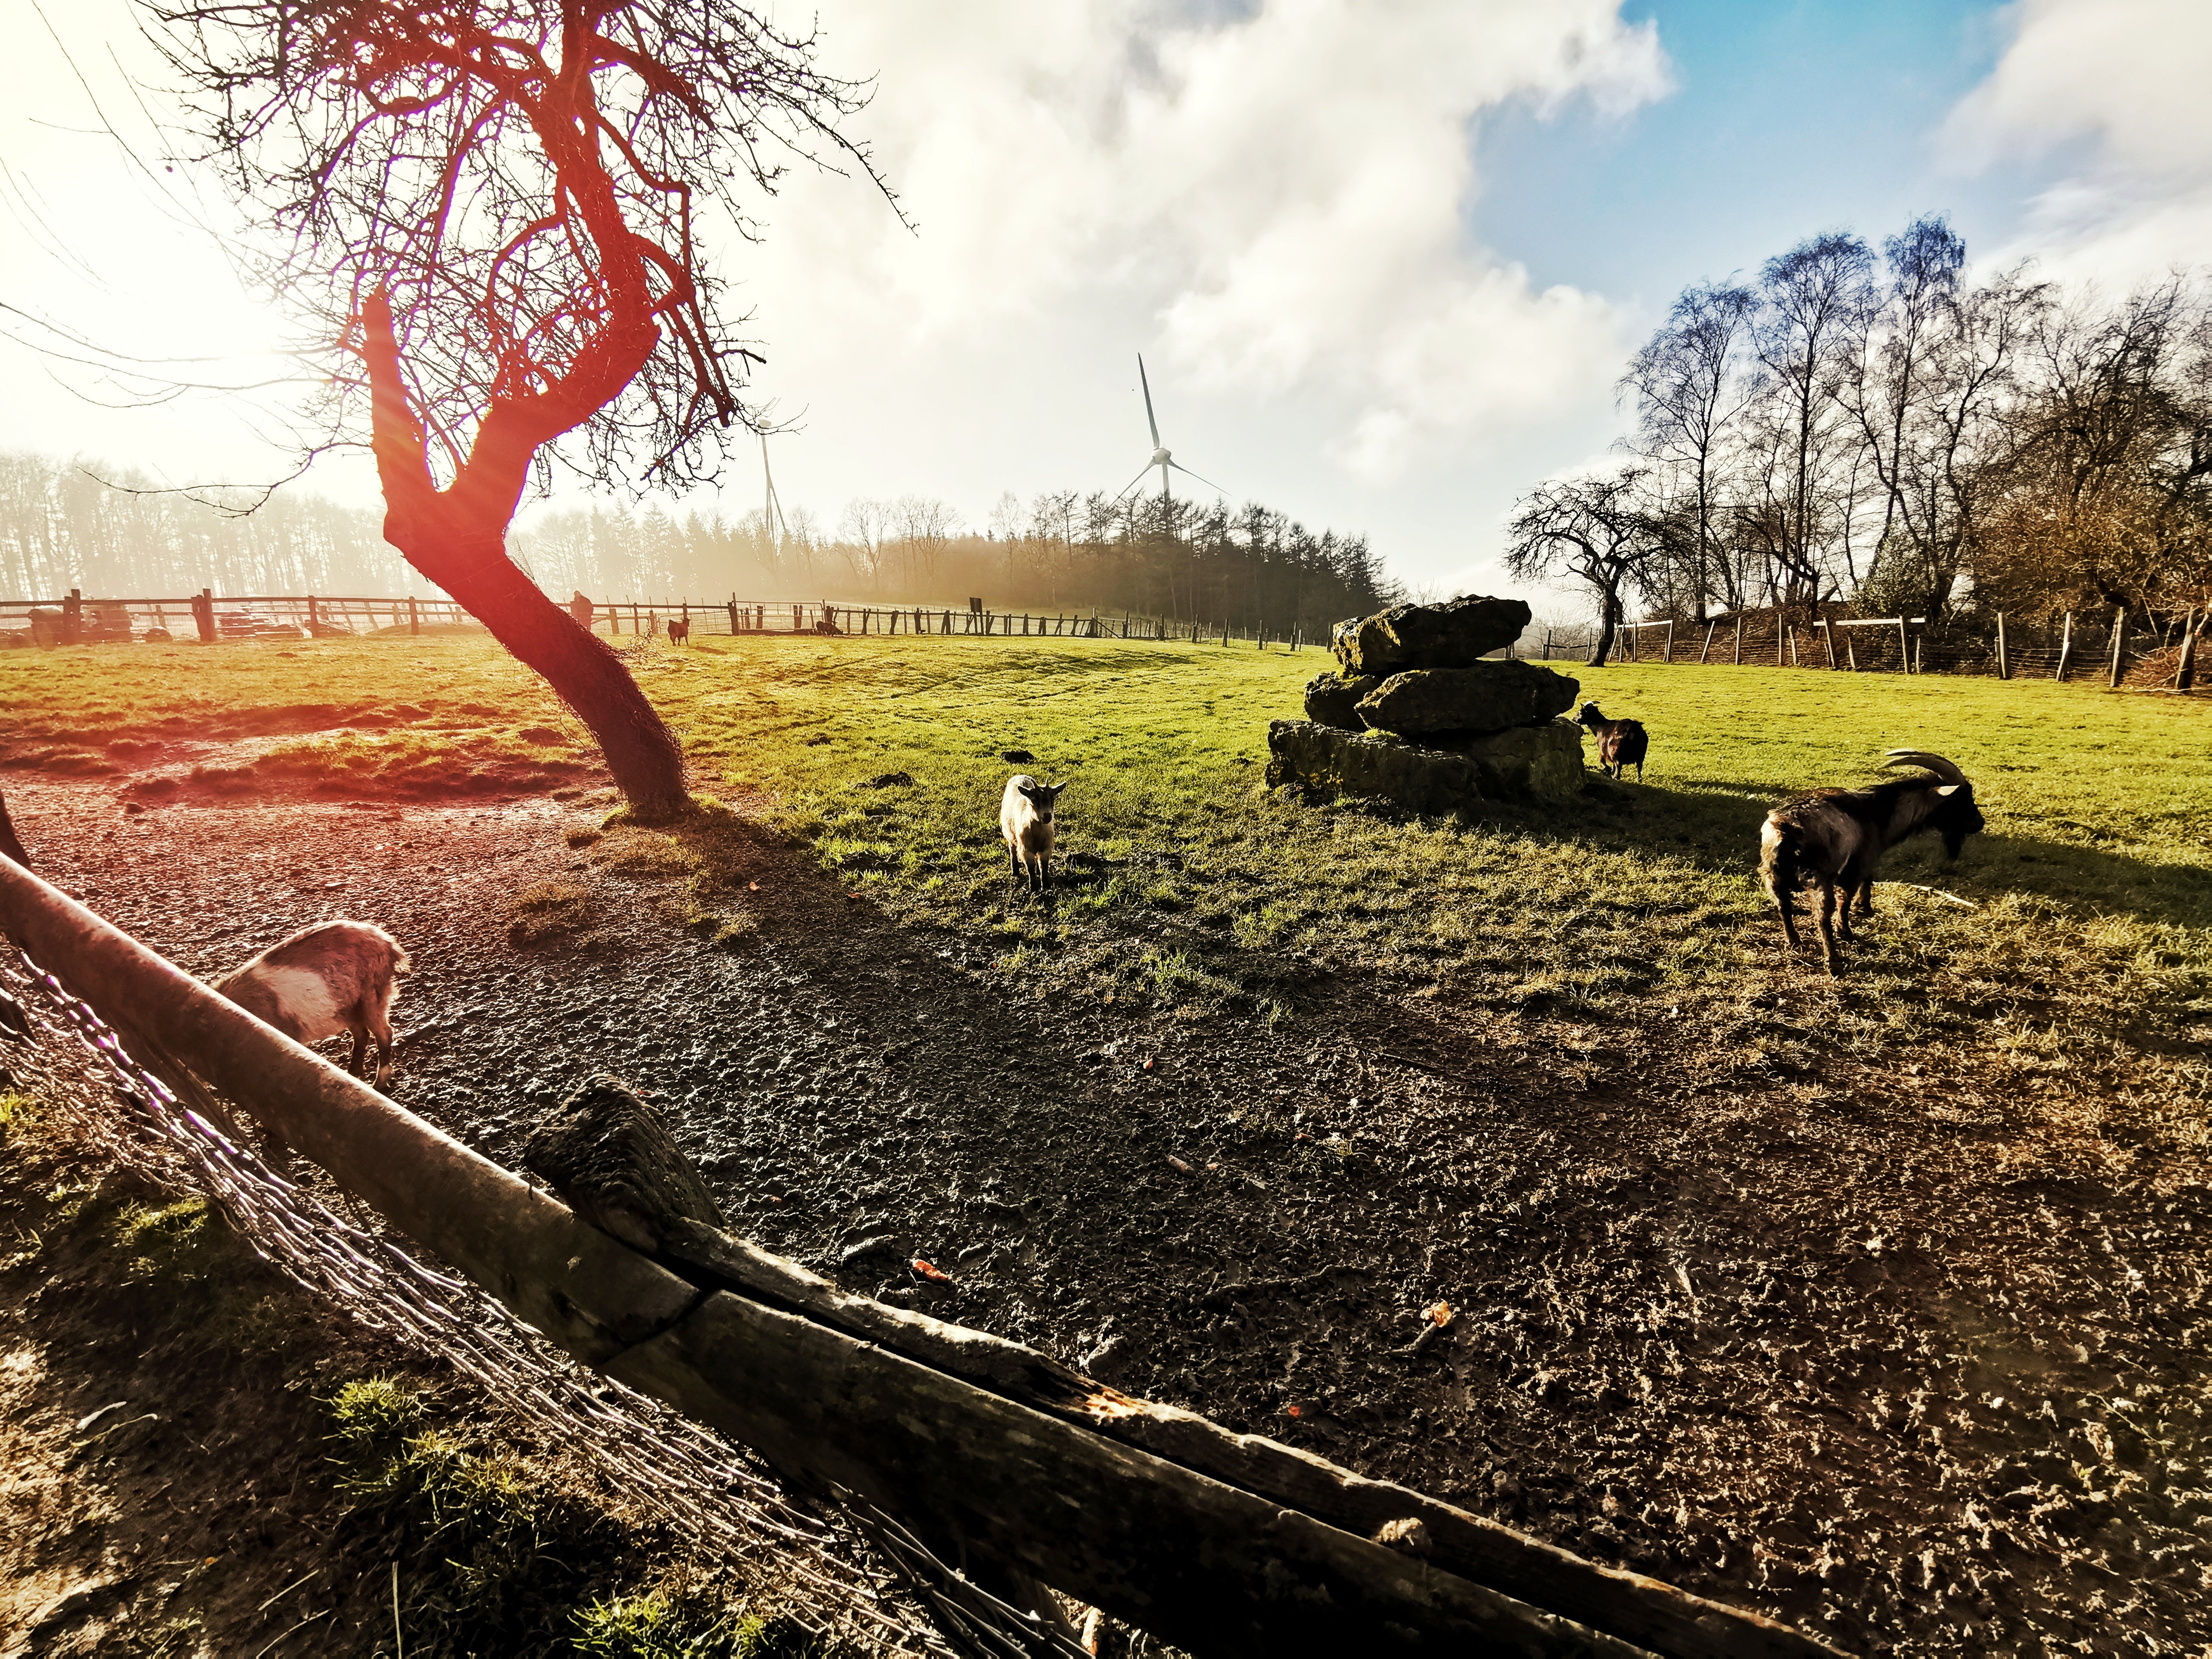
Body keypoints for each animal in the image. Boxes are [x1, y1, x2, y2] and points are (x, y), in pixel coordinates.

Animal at [1004, 779, 1071, 898]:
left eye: (1053, 797)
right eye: (1034, 798)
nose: (1047, 815)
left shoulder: (1046, 848)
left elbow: (1044, 866)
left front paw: (1046, 886)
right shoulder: (1026, 850)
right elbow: (1031, 869)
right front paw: (1034, 888)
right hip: (1010, 837)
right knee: (1013, 851)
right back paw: (1015, 871)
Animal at [1575, 699, 1646, 783]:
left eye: (1581, 712)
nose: (1574, 719)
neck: (1600, 727)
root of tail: (1633, 730)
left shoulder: (1603, 750)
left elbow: (1602, 761)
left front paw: (1608, 770)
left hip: (1615, 752)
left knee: (1619, 765)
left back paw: (1616, 777)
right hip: (1641, 755)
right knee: (1639, 767)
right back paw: (1639, 780)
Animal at [1761, 752, 1991, 973]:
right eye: (1961, 801)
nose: (1980, 823)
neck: (1876, 813)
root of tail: (1785, 829)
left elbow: (1868, 879)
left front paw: (1865, 907)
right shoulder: (1856, 864)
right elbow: (1846, 899)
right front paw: (1846, 930)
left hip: (1771, 874)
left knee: (1784, 906)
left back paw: (1794, 941)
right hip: (1818, 878)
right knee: (1822, 916)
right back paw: (1833, 960)